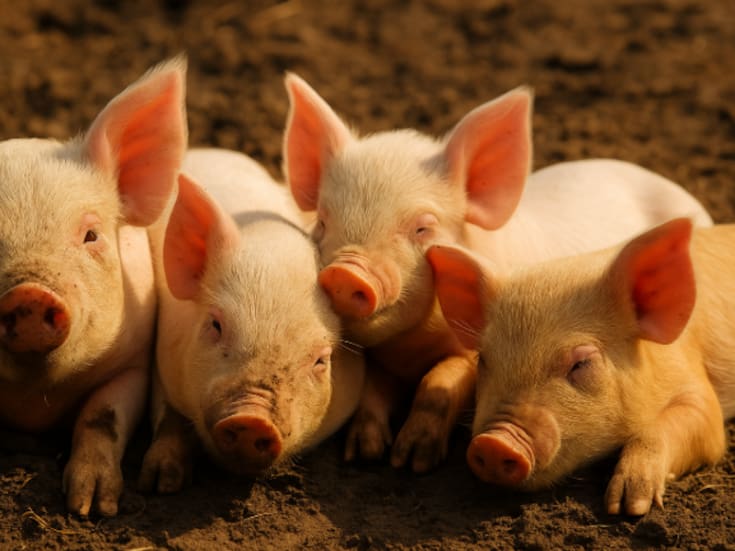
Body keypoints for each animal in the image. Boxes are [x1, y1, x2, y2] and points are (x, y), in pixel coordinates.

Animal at [0, 59, 187, 516]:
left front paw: (92, 507)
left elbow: (101, 417)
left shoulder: (134, 362)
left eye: (91, 235)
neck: (35, 398)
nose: (30, 296)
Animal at [138, 148, 365, 494]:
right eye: (216, 325)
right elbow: (167, 416)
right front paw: (160, 483)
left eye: (321, 360)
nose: (252, 419)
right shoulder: (163, 353)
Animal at [282, 73, 714, 473]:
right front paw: (364, 455)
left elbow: (440, 381)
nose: (345, 272)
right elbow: (372, 390)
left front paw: (413, 461)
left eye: (423, 228)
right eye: (322, 223)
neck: (410, 347)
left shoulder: (468, 351)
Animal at [428, 217, 735, 515]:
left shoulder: (696, 388)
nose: (494, 442)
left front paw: (627, 507)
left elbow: (696, 429)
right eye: (484, 359)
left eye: (581, 363)